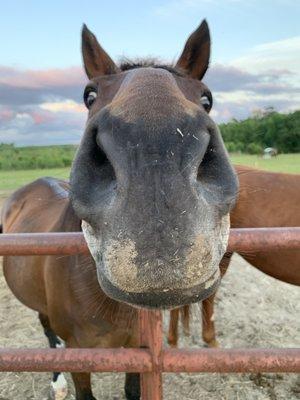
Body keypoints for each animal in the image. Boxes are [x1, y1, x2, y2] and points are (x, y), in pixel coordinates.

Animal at [1, 21, 238, 400]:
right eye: (89, 95)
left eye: (207, 98)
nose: (155, 158)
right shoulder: (79, 353)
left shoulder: (138, 348)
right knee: (47, 332)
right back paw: (56, 382)